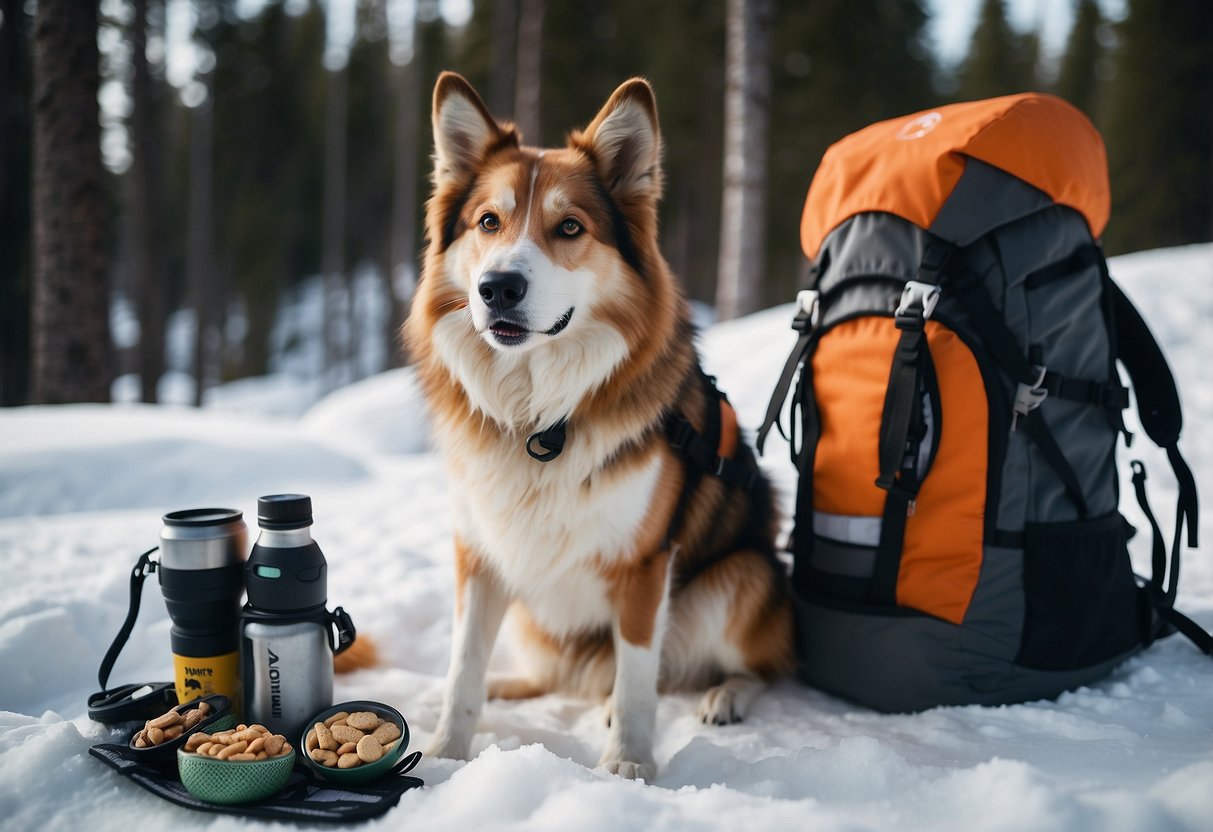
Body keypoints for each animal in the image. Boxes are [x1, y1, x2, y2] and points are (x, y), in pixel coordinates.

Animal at [402, 71, 790, 781]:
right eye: (488, 222)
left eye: (569, 227)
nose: (497, 288)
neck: (539, 416)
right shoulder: (479, 552)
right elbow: (462, 666)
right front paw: (445, 752)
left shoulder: (643, 566)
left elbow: (637, 679)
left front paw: (630, 763)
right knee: (554, 676)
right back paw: (512, 686)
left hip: (740, 579)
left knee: (759, 668)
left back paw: (724, 696)